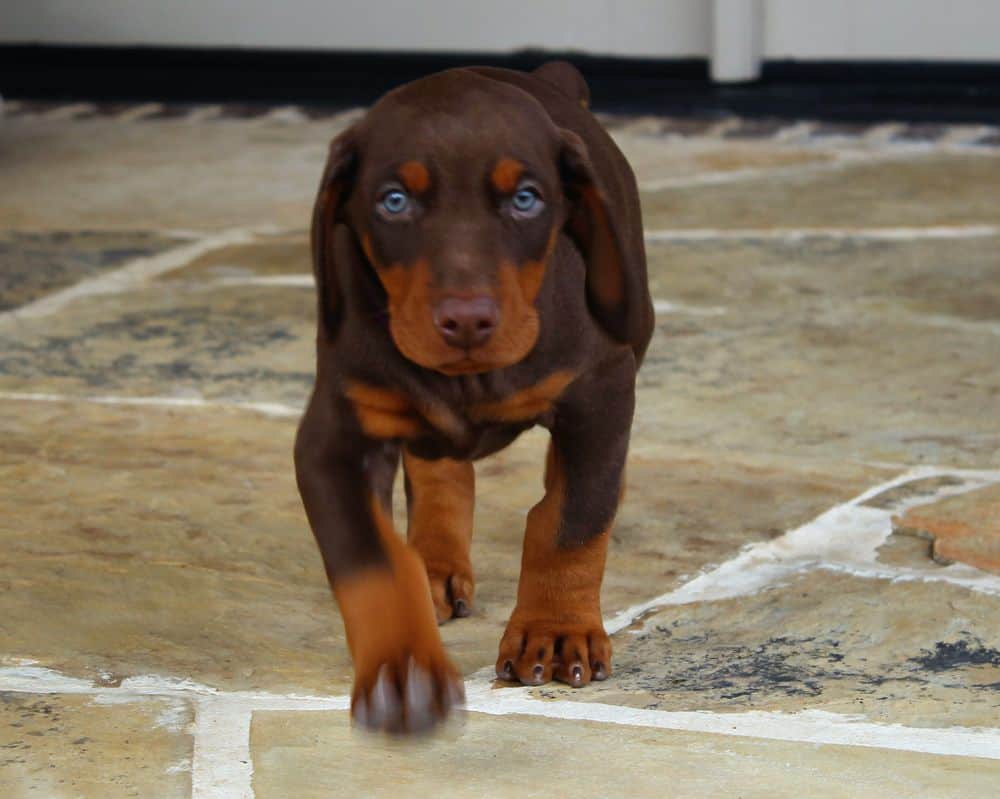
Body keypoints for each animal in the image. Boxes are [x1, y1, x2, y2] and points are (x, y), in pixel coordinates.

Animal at [294, 62, 656, 736]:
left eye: (525, 199)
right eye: (394, 201)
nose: (466, 320)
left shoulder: (601, 388)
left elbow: (571, 520)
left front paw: (556, 630)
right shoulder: (333, 438)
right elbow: (372, 562)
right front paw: (403, 669)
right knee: (438, 468)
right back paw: (435, 563)